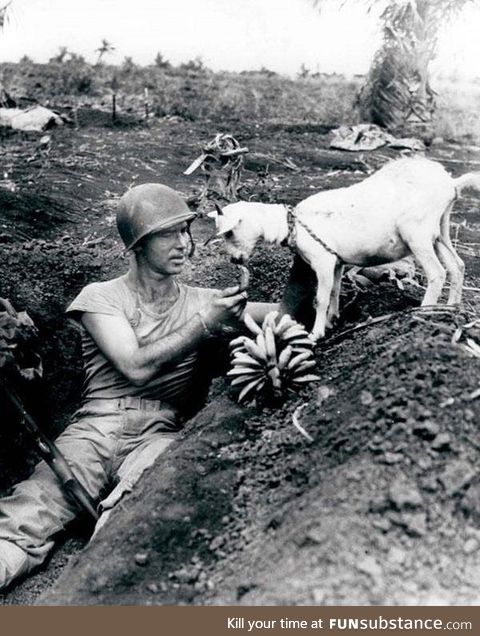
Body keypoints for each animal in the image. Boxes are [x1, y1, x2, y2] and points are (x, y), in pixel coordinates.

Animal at [209, 157, 480, 340]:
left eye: (229, 232)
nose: (234, 261)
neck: (291, 224)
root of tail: (451, 184)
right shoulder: (337, 262)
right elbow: (334, 292)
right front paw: (332, 321)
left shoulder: (323, 261)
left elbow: (320, 298)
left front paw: (316, 333)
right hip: (439, 231)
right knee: (457, 266)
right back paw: (450, 308)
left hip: (418, 233)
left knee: (437, 273)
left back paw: (424, 312)